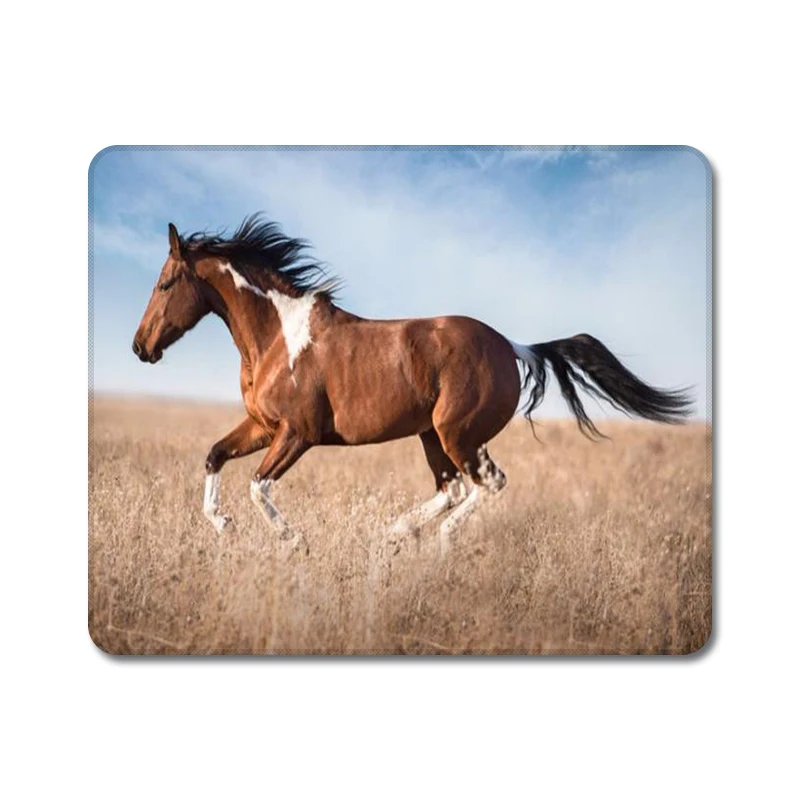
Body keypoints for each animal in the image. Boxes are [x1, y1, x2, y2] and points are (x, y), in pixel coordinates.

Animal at [132, 214, 691, 553]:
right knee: (452, 487)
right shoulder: (263, 426)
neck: (277, 336)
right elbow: (214, 456)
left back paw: (437, 543)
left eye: (165, 283)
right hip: (431, 435)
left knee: (486, 483)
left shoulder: (298, 433)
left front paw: (294, 542)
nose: (140, 347)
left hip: (457, 433)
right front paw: (222, 525)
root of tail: (513, 346)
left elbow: (257, 485)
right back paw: (395, 532)